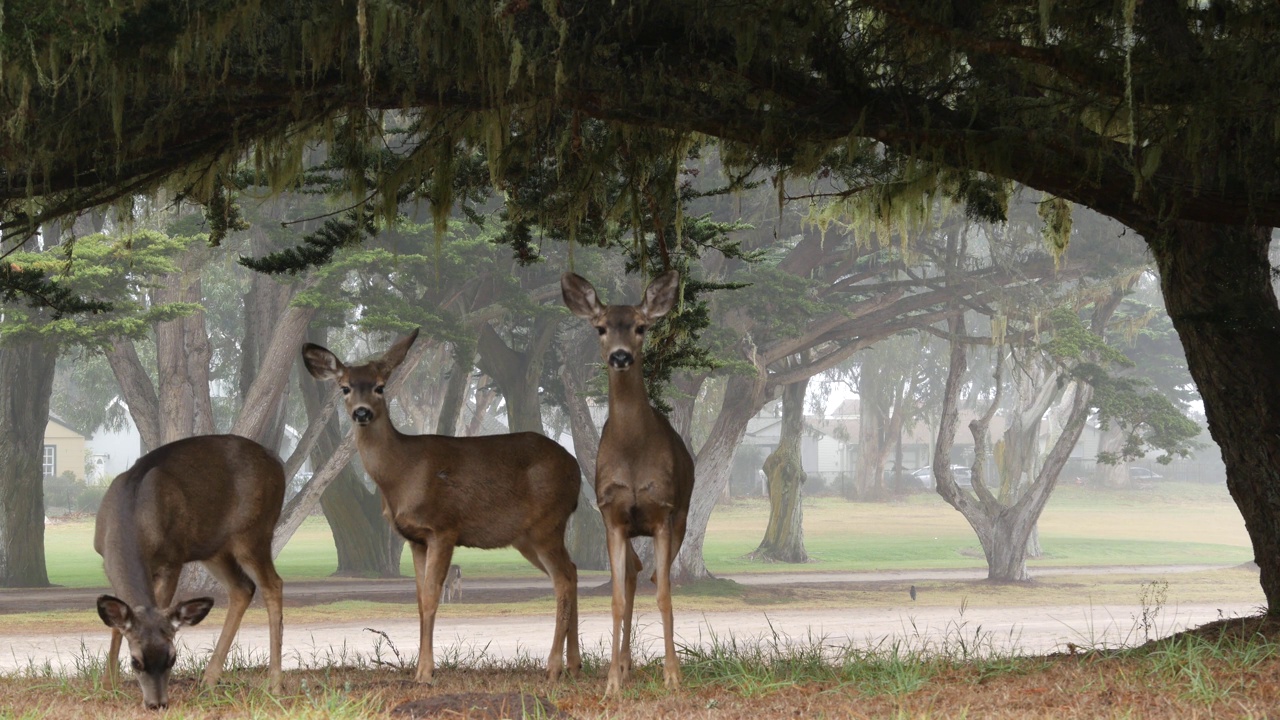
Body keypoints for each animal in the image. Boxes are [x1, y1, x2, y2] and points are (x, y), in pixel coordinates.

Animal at [92, 430, 285, 707]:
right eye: (135, 662)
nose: (158, 703)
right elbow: (116, 626)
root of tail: (278, 463)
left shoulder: (173, 559)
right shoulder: (105, 561)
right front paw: (108, 686)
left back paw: (275, 685)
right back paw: (209, 679)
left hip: (253, 533)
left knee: (273, 584)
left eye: (172, 658)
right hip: (214, 548)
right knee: (243, 588)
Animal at [302, 327, 583, 681]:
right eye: (345, 387)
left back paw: (554, 666)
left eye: (380, 386)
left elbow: (433, 595)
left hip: (548, 523)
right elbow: (420, 597)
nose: (362, 412)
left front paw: (424, 672)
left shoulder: (443, 528)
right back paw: (575, 663)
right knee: (572, 572)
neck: (403, 472)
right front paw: (422, 668)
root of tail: (577, 470)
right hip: (527, 537)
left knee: (563, 580)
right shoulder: (415, 538)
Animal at [563, 267, 696, 691]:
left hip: (682, 517)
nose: (620, 356)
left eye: (640, 326)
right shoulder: (612, 515)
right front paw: (611, 683)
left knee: (649, 574)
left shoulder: (663, 512)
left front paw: (672, 676)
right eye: (601, 327)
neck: (633, 453)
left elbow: (665, 594)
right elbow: (617, 599)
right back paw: (623, 665)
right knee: (635, 573)